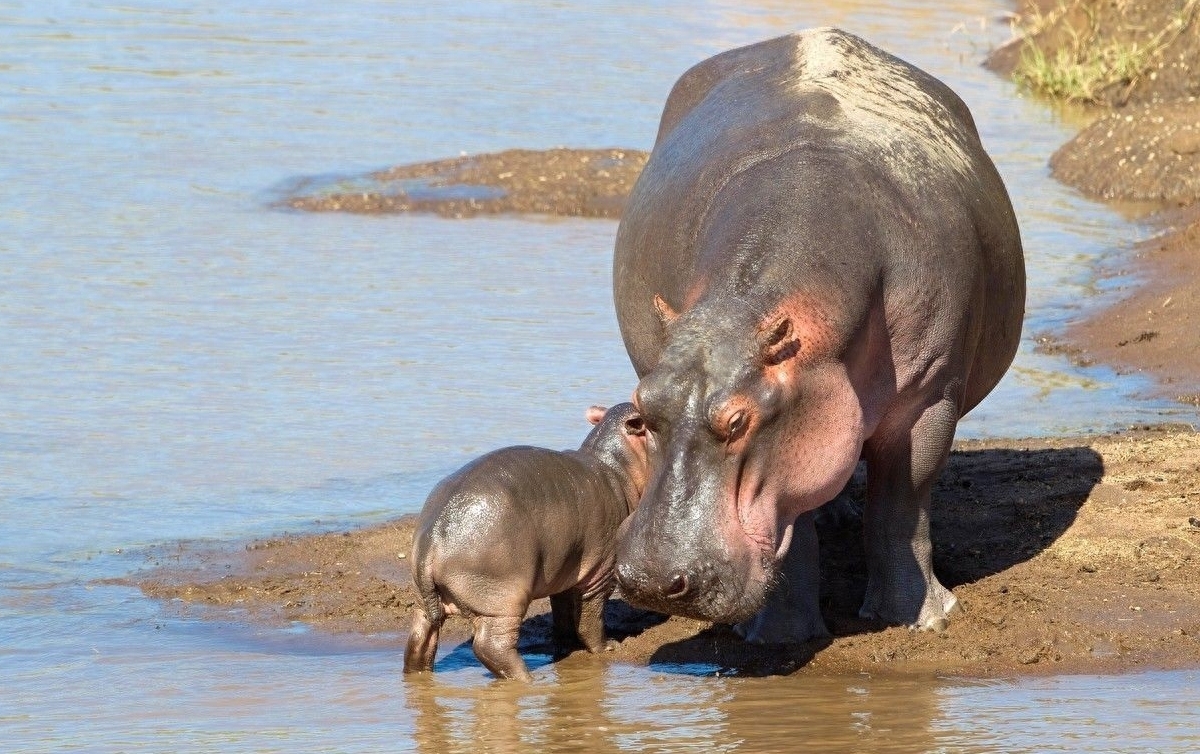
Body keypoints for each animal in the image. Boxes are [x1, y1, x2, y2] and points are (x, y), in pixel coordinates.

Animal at [403, 403, 652, 681]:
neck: (616, 467)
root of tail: (433, 539)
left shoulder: (565, 571)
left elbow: (564, 613)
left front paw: (566, 647)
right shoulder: (600, 572)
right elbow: (591, 615)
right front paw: (608, 647)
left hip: (424, 597)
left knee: (420, 635)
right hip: (502, 598)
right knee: (491, 646)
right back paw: (528, 678)